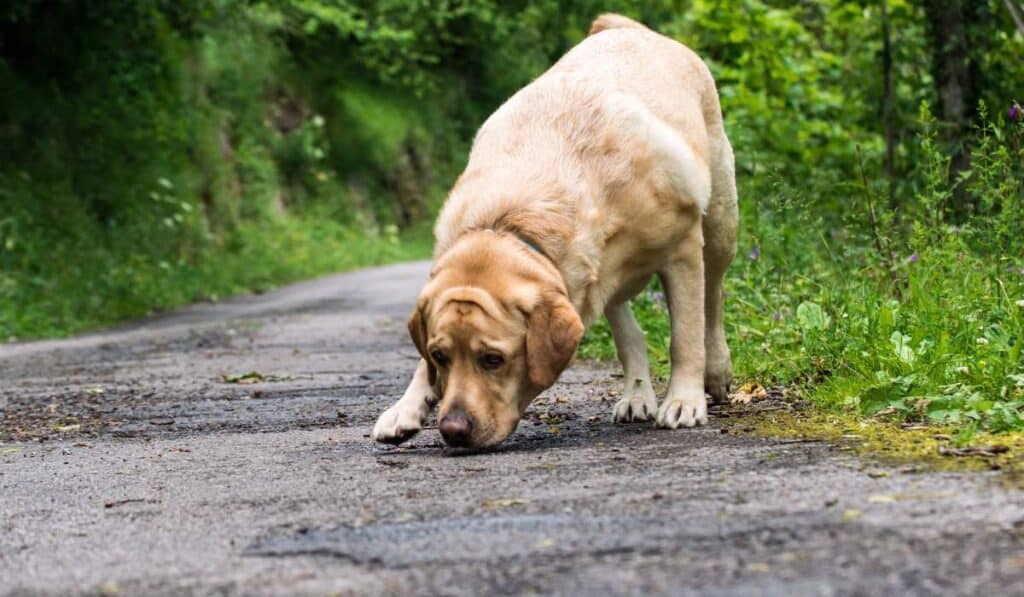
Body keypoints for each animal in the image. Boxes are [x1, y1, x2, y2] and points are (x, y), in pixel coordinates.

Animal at [368, 12, 737, 448]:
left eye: (493, 360)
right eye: (441, 355)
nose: (453, 431)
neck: (511, 222)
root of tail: (627, 27)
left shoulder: (682, 249)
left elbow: (685, 334)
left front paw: (683, 399)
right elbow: (421, 367)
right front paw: (406, 407)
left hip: (720, 225)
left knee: (712, 298)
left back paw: (715, 371)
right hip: (604, 280)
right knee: (625, 323)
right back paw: (636, 393)